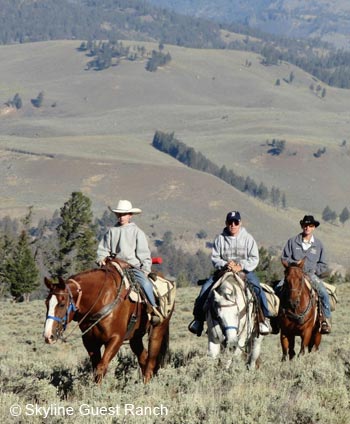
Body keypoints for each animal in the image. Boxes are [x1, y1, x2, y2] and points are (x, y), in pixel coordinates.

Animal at [43, 258, 174, 384]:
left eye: (62, 304)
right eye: (46, 303)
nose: (48, 336)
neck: (101, 300)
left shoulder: (116, 338)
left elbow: (101, 367)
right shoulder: (90, 342)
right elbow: (96, 369)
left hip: (157, 331)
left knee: (151, 361)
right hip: (135, 338)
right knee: (143, 358)